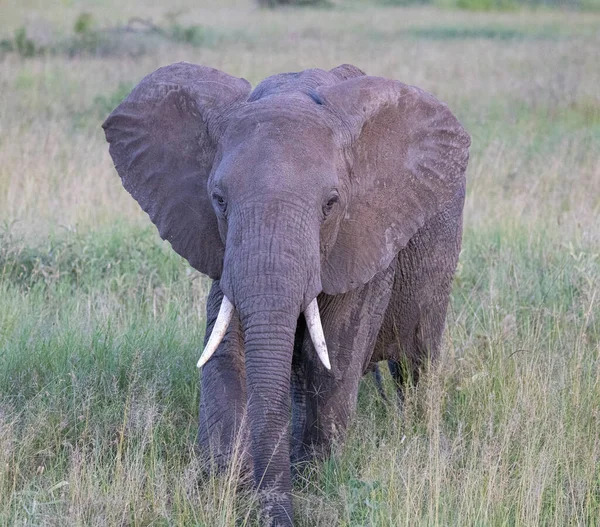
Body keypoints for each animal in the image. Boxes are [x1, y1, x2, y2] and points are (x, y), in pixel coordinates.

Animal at [102, 60, 468, 524]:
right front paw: (223, 486)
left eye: (331, 203)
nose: (278, 514)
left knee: (416, 361)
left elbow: (334, 358)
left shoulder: (364, 241)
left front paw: (312, 479)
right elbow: (227, 352)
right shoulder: (223, 251)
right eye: (219, 200)